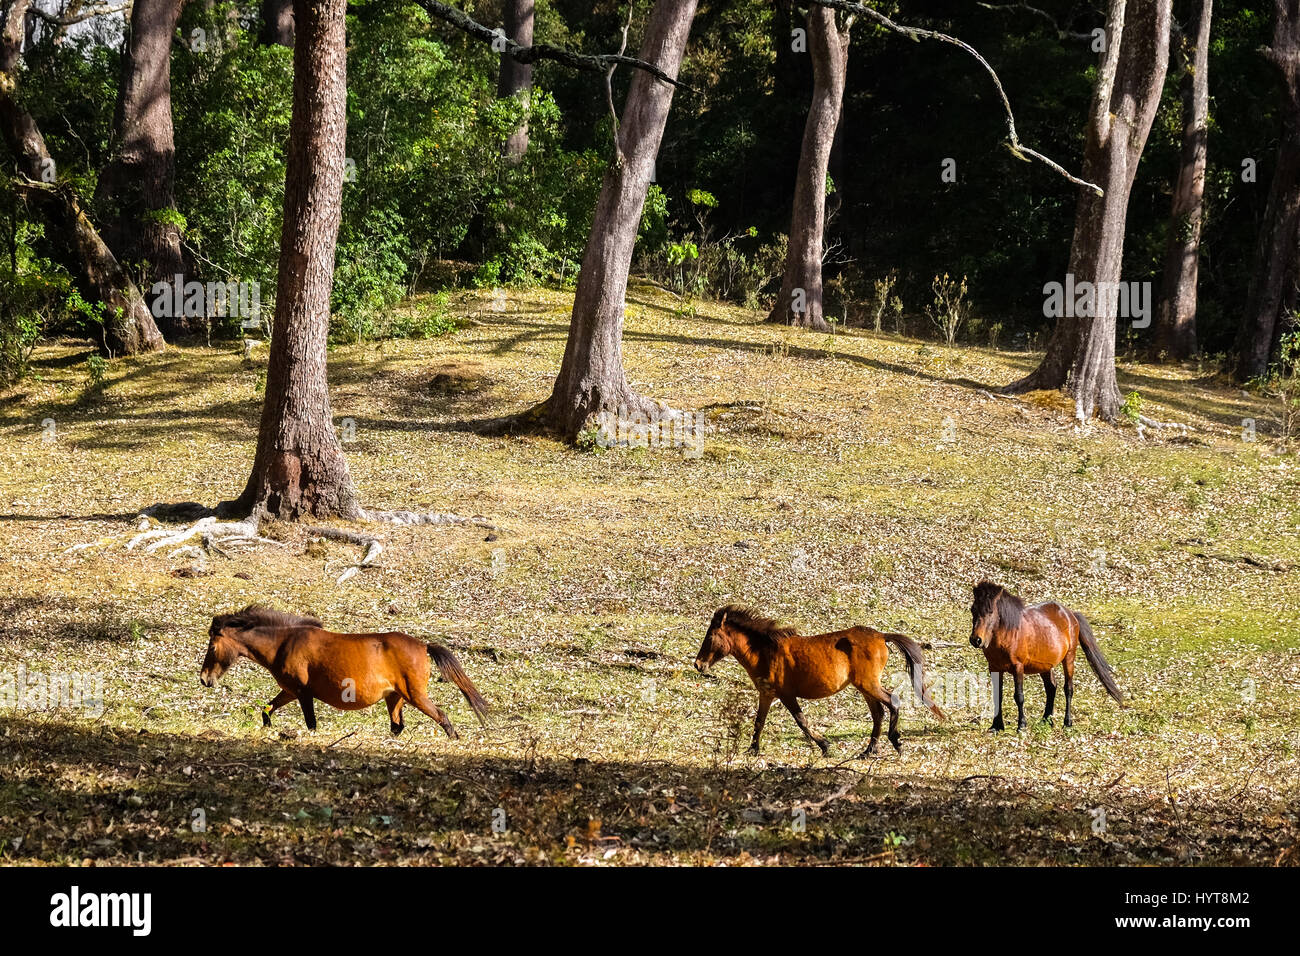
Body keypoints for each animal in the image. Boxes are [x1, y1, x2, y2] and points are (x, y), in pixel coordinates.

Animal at [197, 608, 488, 738]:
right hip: (395, 698)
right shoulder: (290, 691)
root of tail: (423, 645)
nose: (204, 679)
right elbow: (266, 710)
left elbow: (311, 723)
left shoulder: (302, 692)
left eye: (212, 646)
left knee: (442, 717)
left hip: (414, 696)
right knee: (397, 727)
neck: (284, 643)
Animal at [691, 608, 946, 759]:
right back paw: (868, 750)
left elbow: (801, 721)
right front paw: (752, 749)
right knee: (878, 714)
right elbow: (759, 722)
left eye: (710, 636)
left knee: (892, 702)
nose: (698, 664)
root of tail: (881, 636)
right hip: (864, 687)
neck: (765, 652)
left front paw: (824, 746)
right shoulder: (767, 694)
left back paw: (895, 743)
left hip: (868, 685)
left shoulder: (786, 695)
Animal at [972, 582, 1123, 733]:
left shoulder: (1018, 667)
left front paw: (1022, 725)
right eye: (973, 610)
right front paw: (996, 725)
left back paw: (1067, 722)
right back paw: (1046, 719)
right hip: (1044, 665)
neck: (1008, 633)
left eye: (990, 611)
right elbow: (997, 695)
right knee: (1051, 687)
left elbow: (1019, 696)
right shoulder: (994, 668)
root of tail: (1070, 615)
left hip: (1069, 659)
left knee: (1068, 689)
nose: (976, 640)